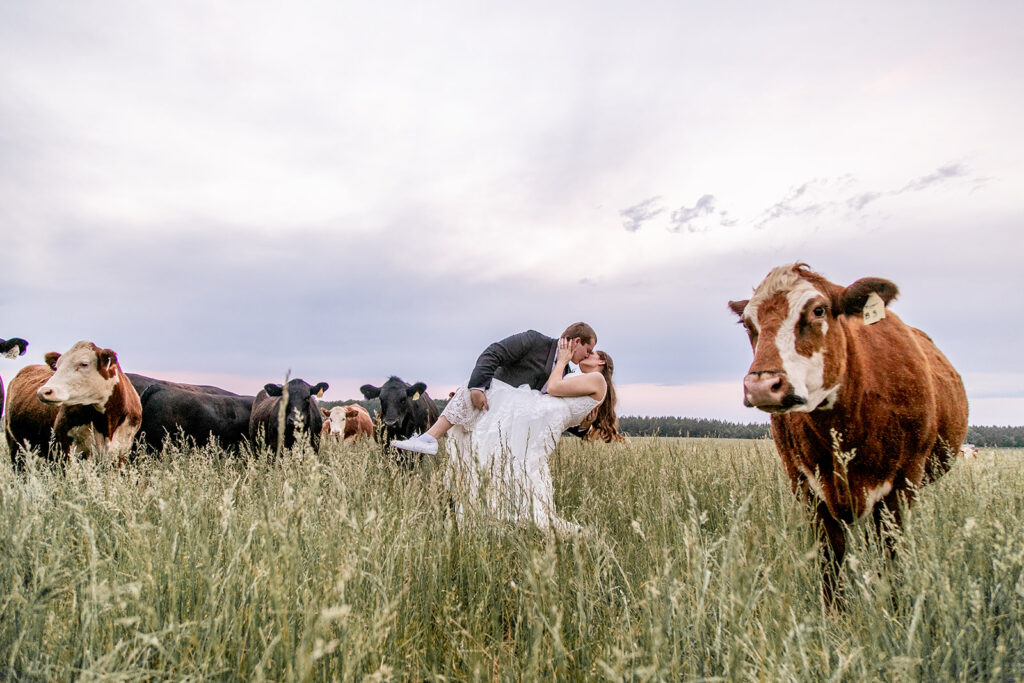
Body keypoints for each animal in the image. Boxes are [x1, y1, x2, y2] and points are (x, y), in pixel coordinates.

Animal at [4, 342, 143, 471]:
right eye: (57, 366)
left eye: (84, 364)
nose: (43, 391)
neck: (107, 423)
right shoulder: (66, 451)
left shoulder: (121, 454)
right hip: (16, 447)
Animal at [729, 264, 966, 606]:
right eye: (749, 324)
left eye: (818, 310)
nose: (761, 385)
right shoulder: (806, 487)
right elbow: (831, 562)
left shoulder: (903, 482)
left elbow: (890, 558)